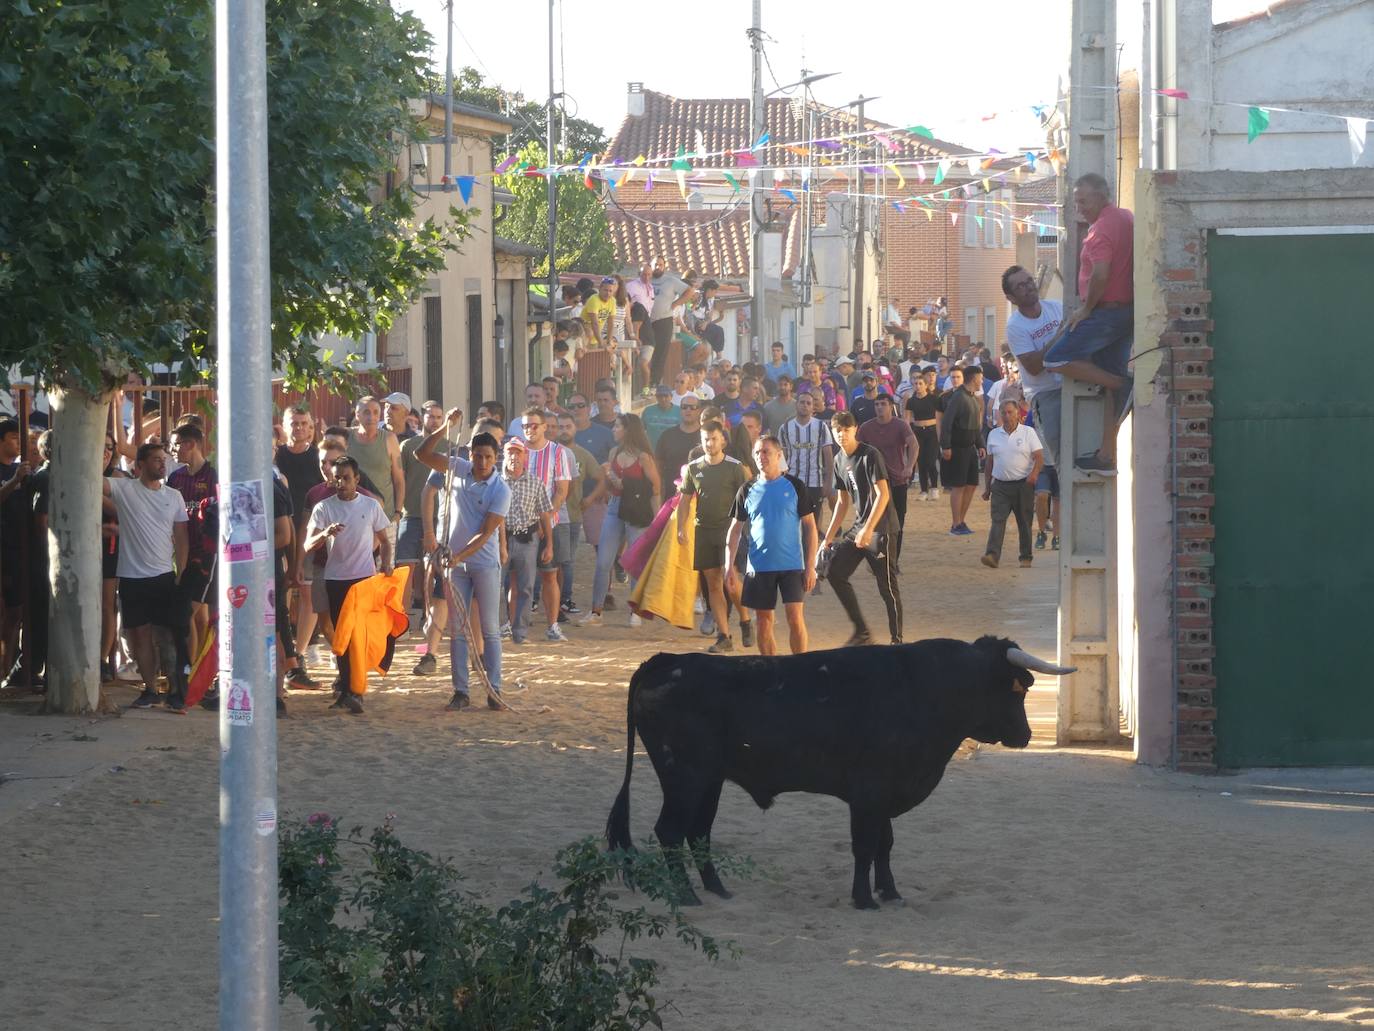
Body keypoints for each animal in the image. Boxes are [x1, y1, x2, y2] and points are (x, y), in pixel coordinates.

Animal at [604, 637, 1071, 912]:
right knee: (670, 831)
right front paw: (864, 899)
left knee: (697, 832)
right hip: (684, 777)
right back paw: (685, 896)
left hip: (709, 782)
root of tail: (663, 662)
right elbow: (864, 846)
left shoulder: (885, 794)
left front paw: (890, 891)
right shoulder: (869, 792)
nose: (1026, 735)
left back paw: (718, 890)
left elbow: (885, 844)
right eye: (1020, 686)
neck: (923, 687)